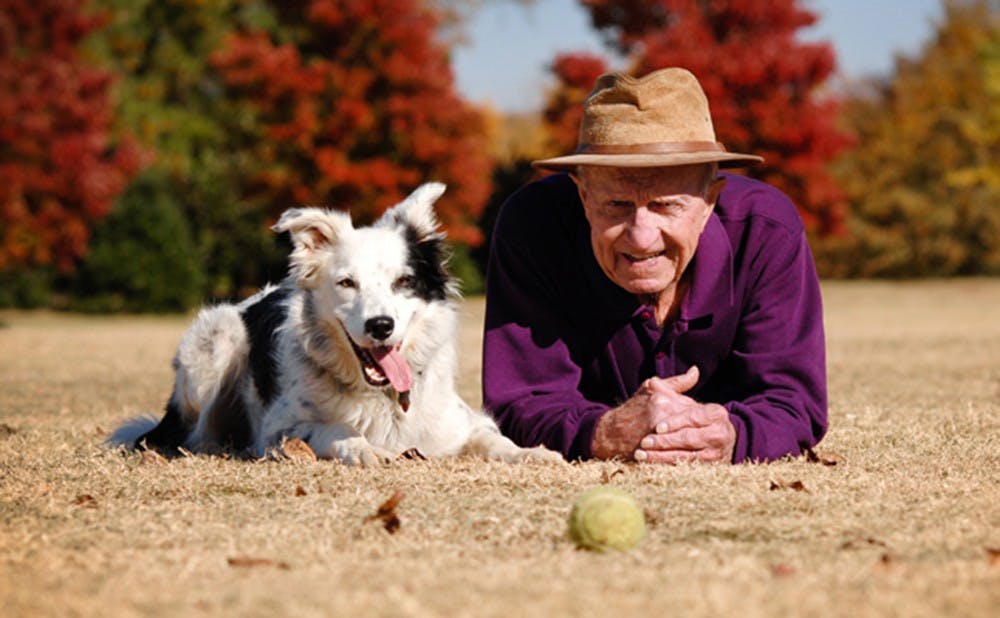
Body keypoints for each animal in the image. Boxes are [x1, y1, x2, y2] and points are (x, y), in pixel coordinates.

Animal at [112, 183, 564, 462]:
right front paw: (363, 448)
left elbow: (494, 438)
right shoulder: (279, 429)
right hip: (217, 342)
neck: (383, 399)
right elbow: (330, 431)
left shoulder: (461, 423)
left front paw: (531, 453)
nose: (381, 325)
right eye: (347, 283)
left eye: (404, 282)